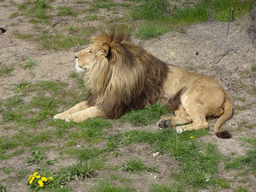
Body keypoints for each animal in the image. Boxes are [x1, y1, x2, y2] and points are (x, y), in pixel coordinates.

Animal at [54, 26, 232, 138]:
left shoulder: (113, 106)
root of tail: (225, 94)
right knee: (189, 118)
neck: (105, 77)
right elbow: (76, 106)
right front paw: (60, 114)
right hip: (178, 103)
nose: (75, 55)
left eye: (90, 52)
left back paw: (180, 129)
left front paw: (71, 118)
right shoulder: (99, 97)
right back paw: (166, 122)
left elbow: (87, 112)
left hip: (189, 96)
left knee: (202, 123)